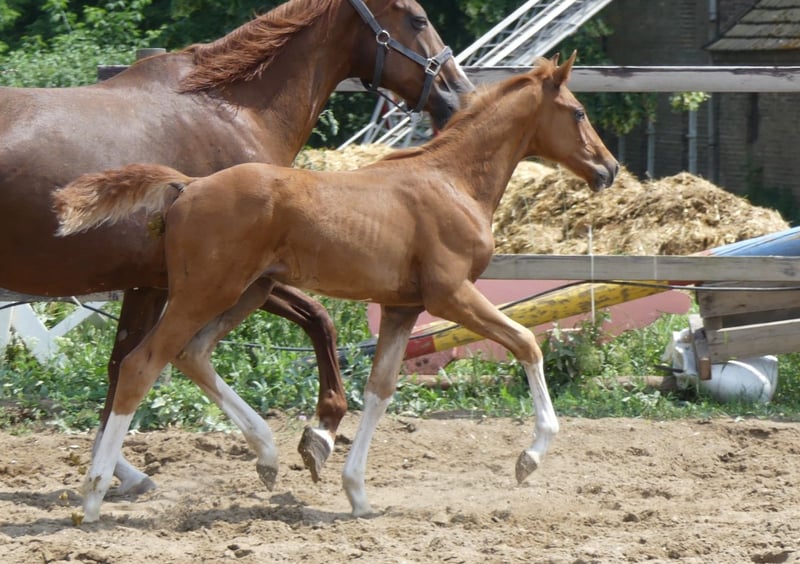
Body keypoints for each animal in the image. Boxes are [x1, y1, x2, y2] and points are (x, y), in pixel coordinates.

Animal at [0, 0, 473, 493]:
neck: (232, 113)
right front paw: (320, 431)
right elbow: (319, 319)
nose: (459, 94)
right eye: (418, 19)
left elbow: (120, 365)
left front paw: (117, 471)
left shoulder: (163, 284)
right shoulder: (219, 276)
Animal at [54, 51, 618, 521]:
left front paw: (357, 493)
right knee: (140, 366)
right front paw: (530, 458)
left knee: (191, 355)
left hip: (245, 293)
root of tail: (187, 186)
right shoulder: (450, 294)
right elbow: (526, 343)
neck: (453, 181)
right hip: (205, 293)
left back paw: (267, 456)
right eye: (578, 113)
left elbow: (380, 389)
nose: (609, 168)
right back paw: (95, 495)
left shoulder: (402, 307)